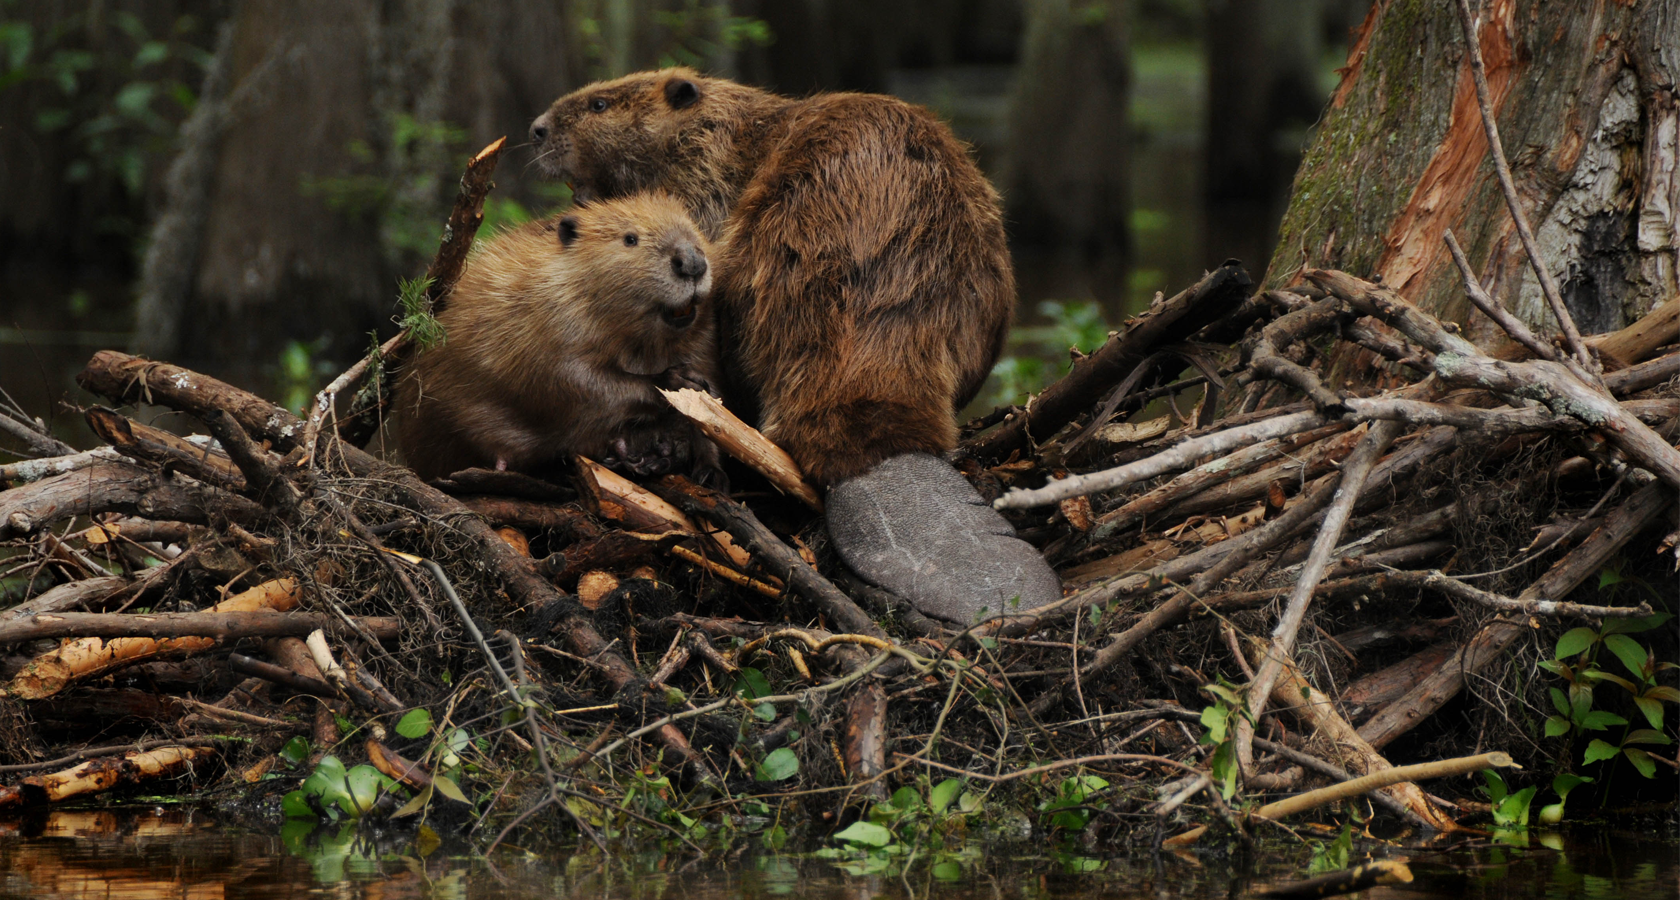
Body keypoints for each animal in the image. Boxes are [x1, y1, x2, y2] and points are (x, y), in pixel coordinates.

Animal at [403, 192, 725, 480]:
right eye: (630, 239)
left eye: (694, 228)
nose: (692, 263)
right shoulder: (549, 319)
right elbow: (574, 379)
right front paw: (677, 380)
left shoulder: (704, 338)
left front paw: (710, 470)